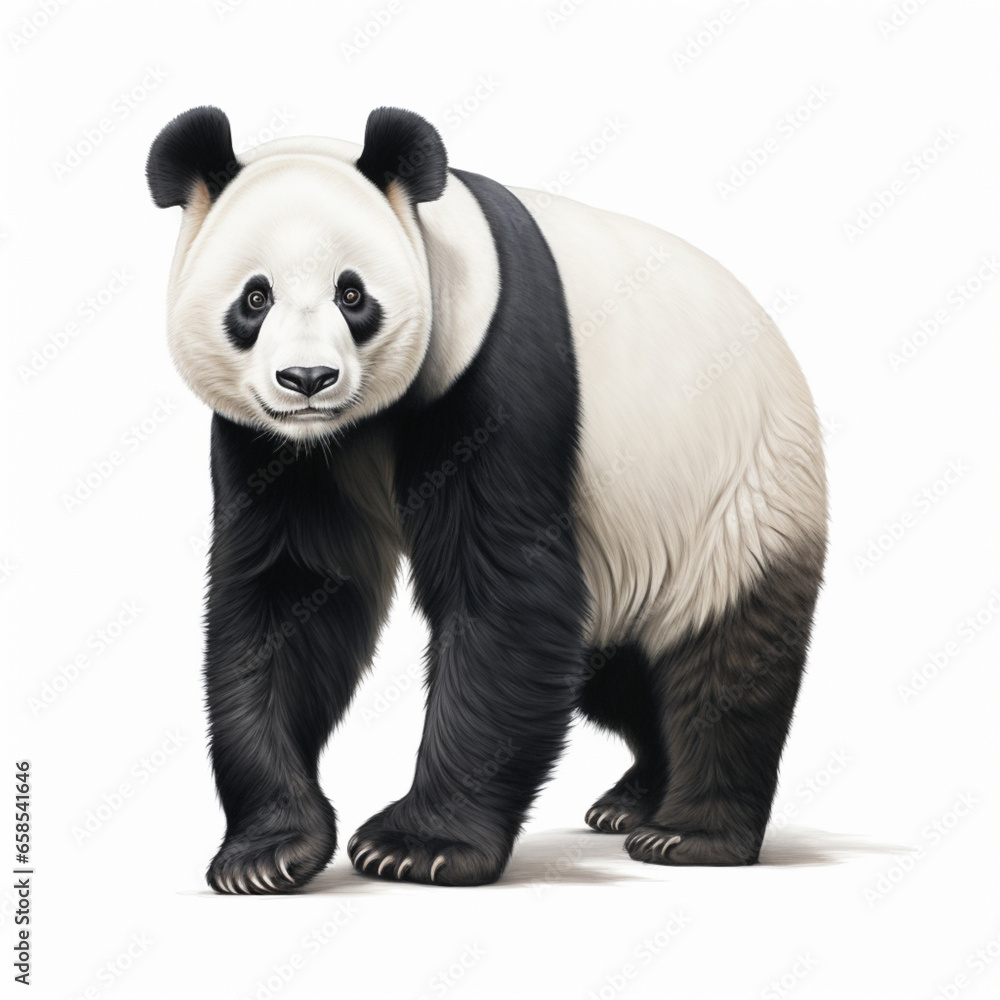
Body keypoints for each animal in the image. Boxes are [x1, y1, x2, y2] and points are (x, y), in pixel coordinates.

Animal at [147, 105, 827, 893]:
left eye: (353, 294)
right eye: (255, 298)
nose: (308, 379)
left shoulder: (496, 364)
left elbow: (502, 587)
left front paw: (417, 845)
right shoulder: (272, 447)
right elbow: (289, 596)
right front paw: (266, 851)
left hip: (739, 496)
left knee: (724, 663)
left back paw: (690, 832)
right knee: (616, 673)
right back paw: (633, 800)